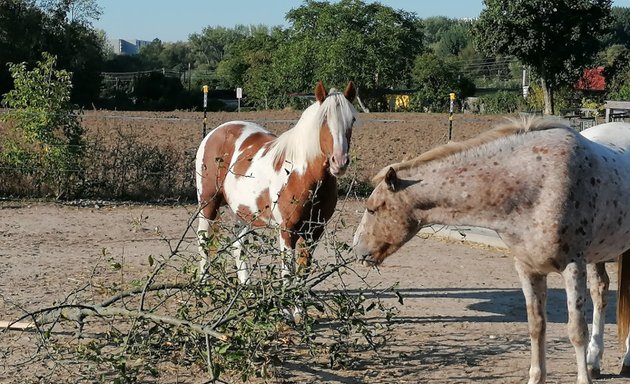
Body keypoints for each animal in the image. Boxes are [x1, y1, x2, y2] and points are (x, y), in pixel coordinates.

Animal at [195, 81, 358, 284]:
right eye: (323, 120)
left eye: (352, 120)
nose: (340, 162)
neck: (303, 175)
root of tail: (215, 133)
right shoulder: (287, 231)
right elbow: (288, 276)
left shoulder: (314, 232)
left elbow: (302, 276)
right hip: (208, 204)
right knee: (203, 242)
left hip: (244, 212)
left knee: (237, 246)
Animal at [356, 118, 630, 384]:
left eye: (372, 208)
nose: (357, 250)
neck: (535, 182)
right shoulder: (527, 268)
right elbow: (536, 326)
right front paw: (536, 377)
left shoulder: (573, 266)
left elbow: (576, 331)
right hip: (598, 256)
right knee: (600, 291)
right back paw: (594, 361)